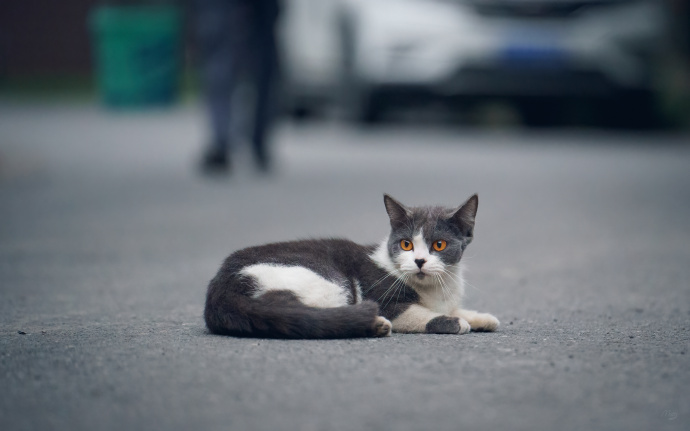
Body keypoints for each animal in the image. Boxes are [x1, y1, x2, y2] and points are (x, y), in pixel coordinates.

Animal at [202, 194, 498, 340]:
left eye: (439, 245)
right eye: (406, 245)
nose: (419, 261)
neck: (435, 289)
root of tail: (220, 288)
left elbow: (455, 308)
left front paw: (482, 318)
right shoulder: (384, 298)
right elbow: (418, 314)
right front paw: (455, 321)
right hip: (323, 280)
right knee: (299, 313)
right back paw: (373, 324)